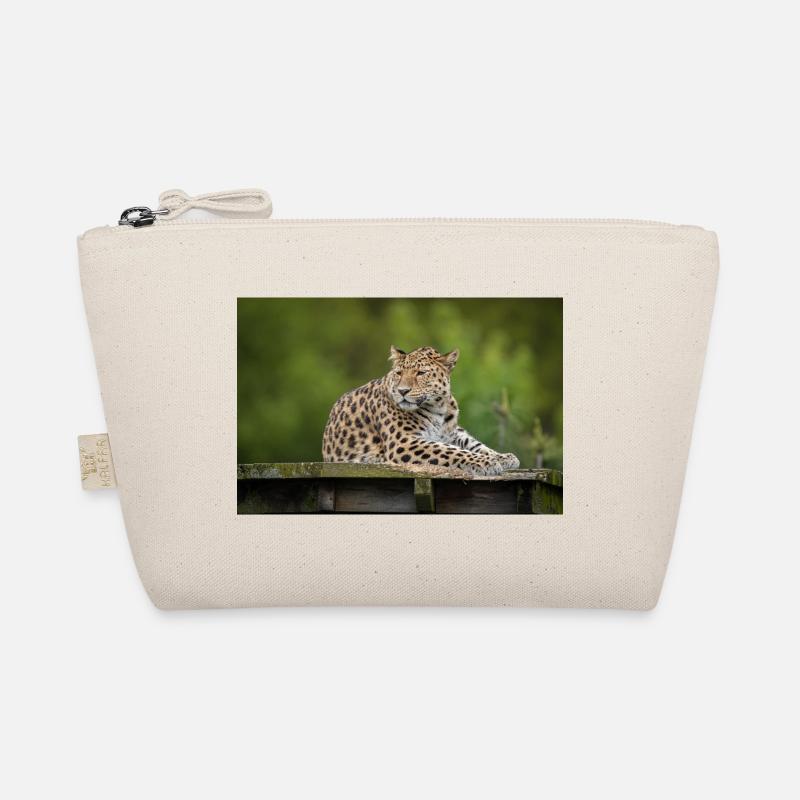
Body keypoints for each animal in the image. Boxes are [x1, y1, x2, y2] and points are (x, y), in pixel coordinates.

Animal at [322, 345, 520, 476]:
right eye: (399, 373)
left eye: (421, 373)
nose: (402, 391)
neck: (439, 407)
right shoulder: (403, 442)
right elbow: (451, 451)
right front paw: (489, 462)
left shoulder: (452, 433)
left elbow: (474, 445)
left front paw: (503, 457)